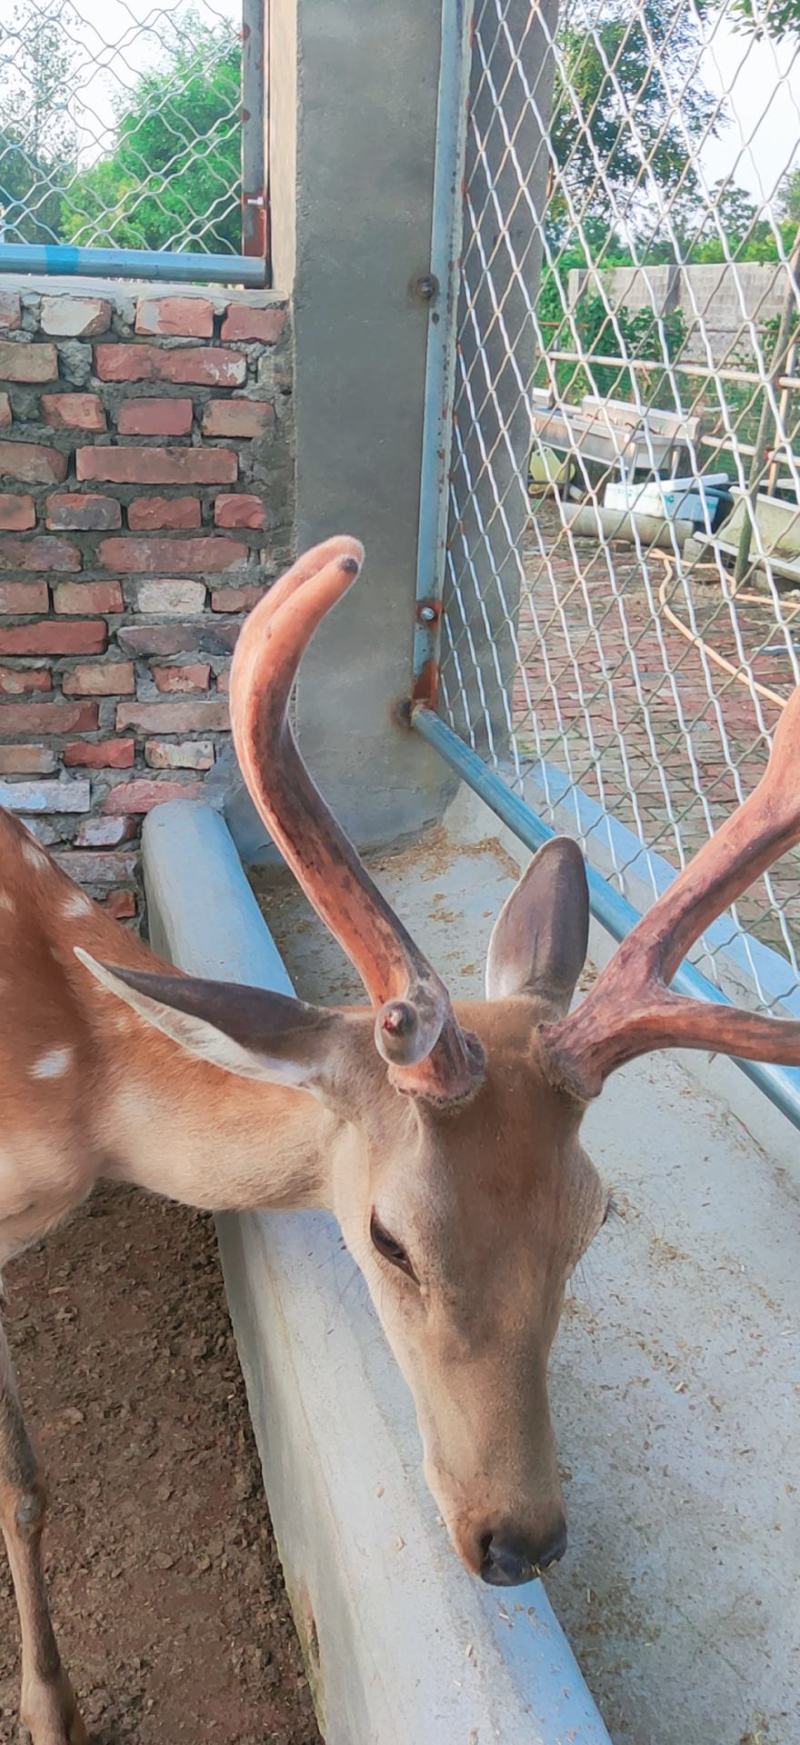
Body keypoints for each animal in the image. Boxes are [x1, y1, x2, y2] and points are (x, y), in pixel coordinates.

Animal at [2, 534, 800, 1744]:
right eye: (388, 1238)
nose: (518, 1542)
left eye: (596, 1217)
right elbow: (23, 1481)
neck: (77, 1096)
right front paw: (53, 1710)